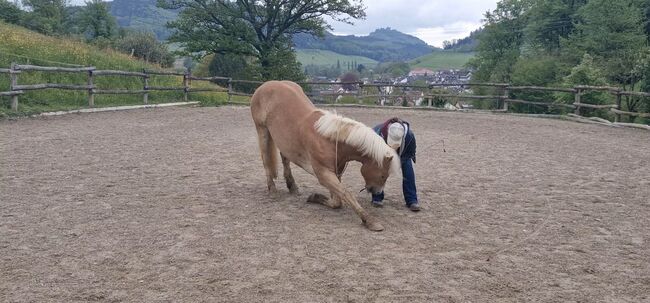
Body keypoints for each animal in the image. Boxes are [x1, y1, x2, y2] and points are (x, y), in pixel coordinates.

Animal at [249, 79, 398, 232]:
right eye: (383, 175)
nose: (377, 192)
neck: (329, 140)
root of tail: (267, 85)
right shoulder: (324, 174)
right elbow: (346, 193)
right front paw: (370, 221)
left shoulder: (336, 173)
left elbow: (337, 201)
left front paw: (315, 197)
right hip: (262, 131)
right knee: (266, 160)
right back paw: (272, 189)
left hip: (283, 140)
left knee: (285, 159)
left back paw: (292, 187)